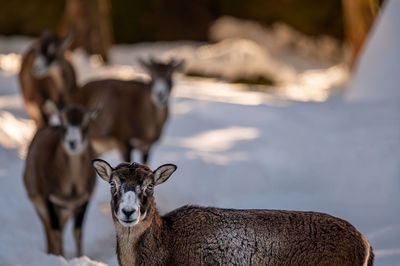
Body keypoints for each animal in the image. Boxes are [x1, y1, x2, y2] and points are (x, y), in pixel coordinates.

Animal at [23, 101, 98, 256]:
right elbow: (55, 231)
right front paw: (59, 257)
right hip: (39, 203)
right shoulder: (49, 199)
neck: (72, 185)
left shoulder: (84, 200)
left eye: (86, 124)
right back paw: (51, 252)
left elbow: (77, 232)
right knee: (48, 228)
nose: (72, 142)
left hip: (65, 210)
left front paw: (79, 257)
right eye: (63, 124)